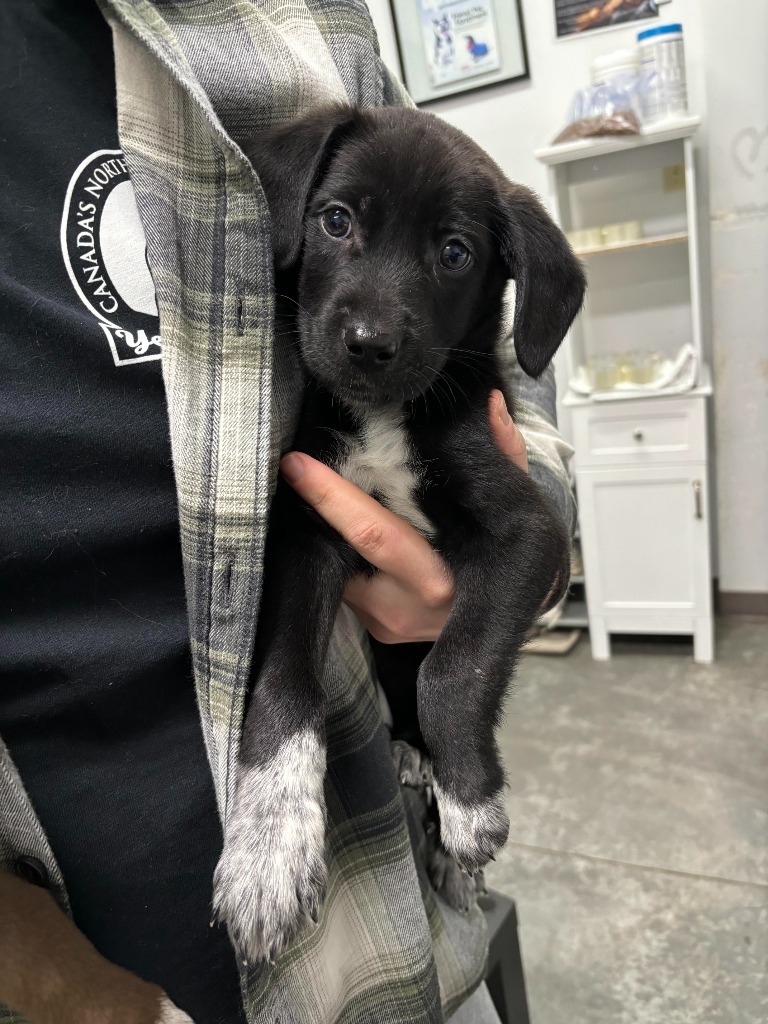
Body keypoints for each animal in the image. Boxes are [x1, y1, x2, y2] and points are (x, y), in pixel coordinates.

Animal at [214, 103, 585, 958]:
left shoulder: (527, 535)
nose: (370, 345)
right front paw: (267, 845)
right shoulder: (307, 529)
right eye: (336, 221)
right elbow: (283, 682)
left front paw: (470, 804)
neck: (383, 418)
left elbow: (453, 668)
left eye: (455, 253)